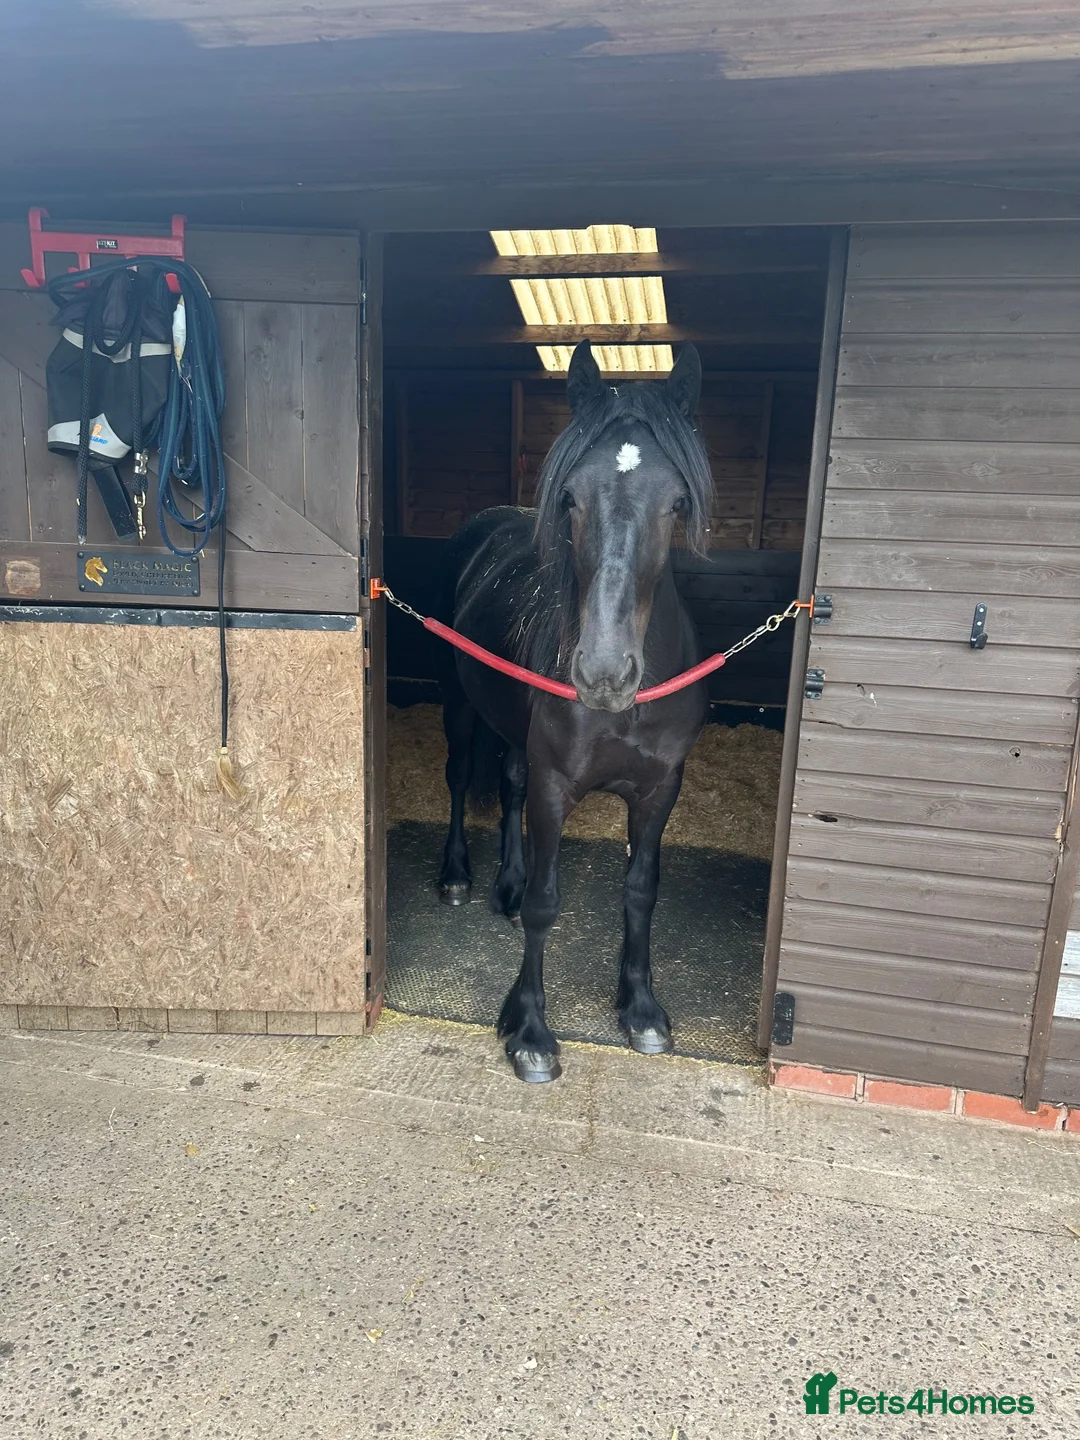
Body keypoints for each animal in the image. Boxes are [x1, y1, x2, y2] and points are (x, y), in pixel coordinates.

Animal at [436, 341, 714, 1083]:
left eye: (677, 502)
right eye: (569, 497)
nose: (604, 673)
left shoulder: (659, 789)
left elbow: (641, 890)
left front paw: (640, 1008)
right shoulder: (556, 786)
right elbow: (545, 904)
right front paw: (530, 1029)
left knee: (507, 785)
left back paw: (503, 881)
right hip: (459, 707)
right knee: (459, 782)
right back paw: (458, 876)